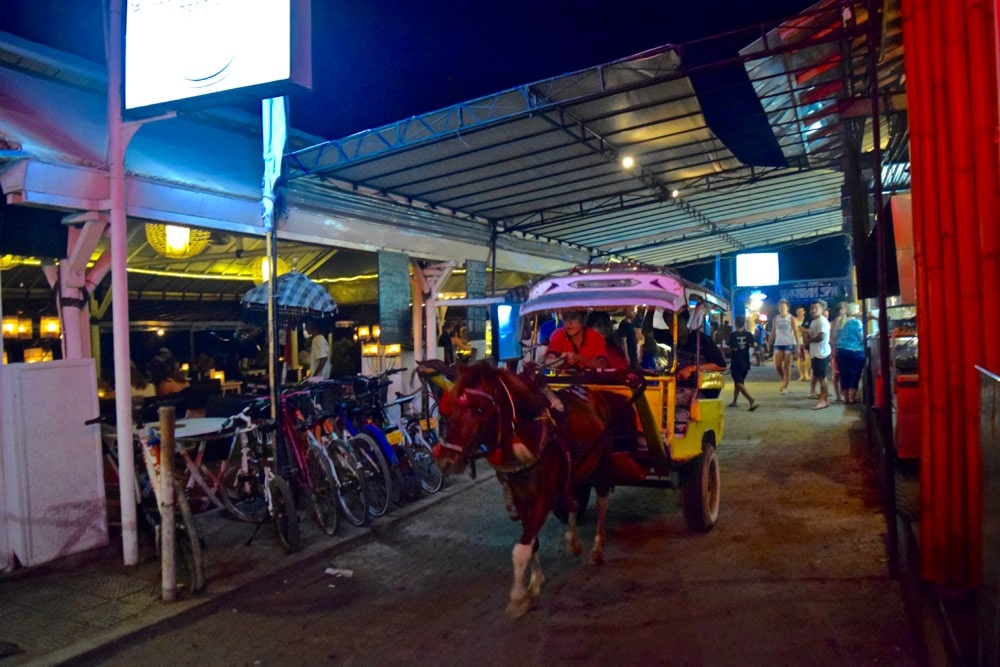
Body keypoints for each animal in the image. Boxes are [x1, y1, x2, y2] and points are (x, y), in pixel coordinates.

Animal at [430, 362, 632, 620]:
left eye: (479, 409)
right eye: (451, 407)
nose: (446, 460)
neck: (528, 435)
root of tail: (593, 392)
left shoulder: (542, 499)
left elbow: (521, 548)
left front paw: (518, 598)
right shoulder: (521, 498)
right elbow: (532, 541)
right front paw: (534, 584)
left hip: (602, 463)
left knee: (602, 500)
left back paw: (597, 549)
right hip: (574, 473)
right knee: (573, 502)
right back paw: (574, 541)